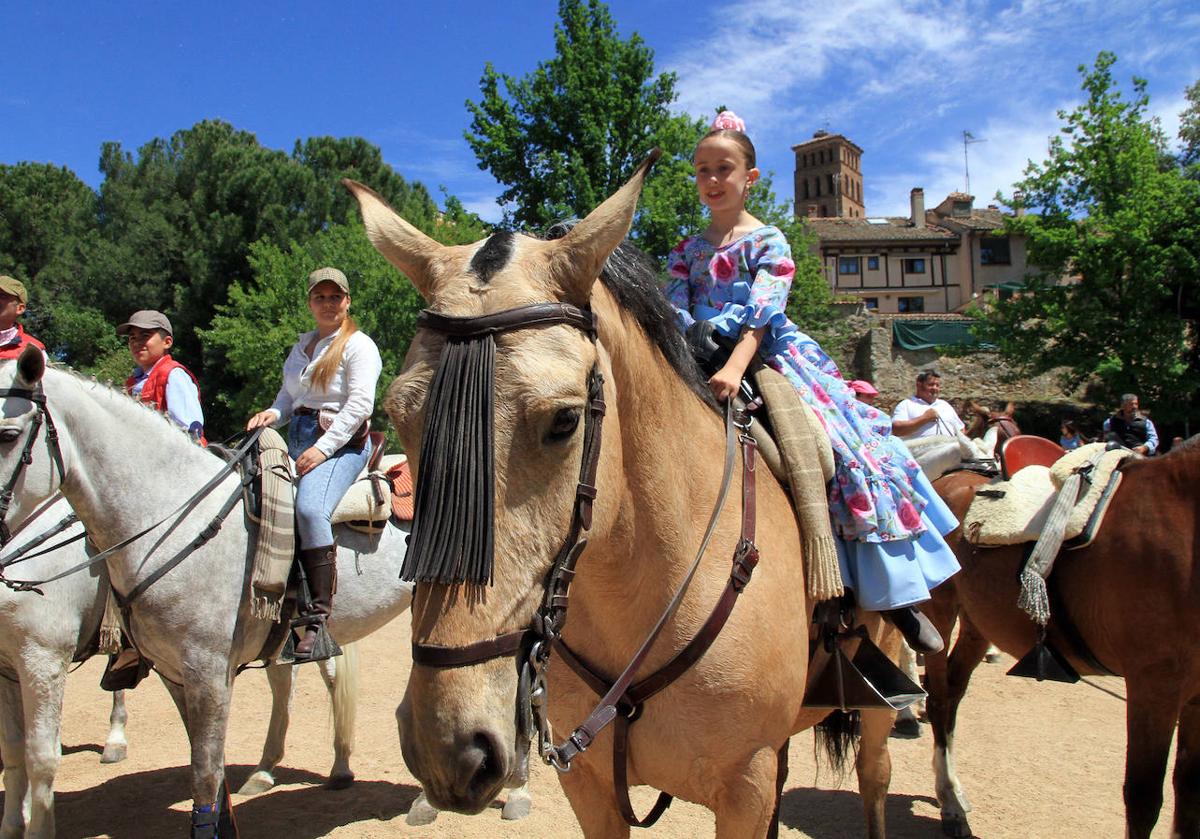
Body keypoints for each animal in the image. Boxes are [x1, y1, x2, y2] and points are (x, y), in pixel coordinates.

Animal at [343, 159, 902, 839]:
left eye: (563, 421)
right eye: (400, 417)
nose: (447, 747)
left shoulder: (744, 785)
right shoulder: (589, 786)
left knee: (876, 778)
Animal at [921, 444, 1200, 835]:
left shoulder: (1194, 697)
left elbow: (1189, 791)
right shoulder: (1154, 687)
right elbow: (1144, 799)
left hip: (978, 623)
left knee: (954, 691)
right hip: (939, 612)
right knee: (939, 699)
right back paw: (950, 802)